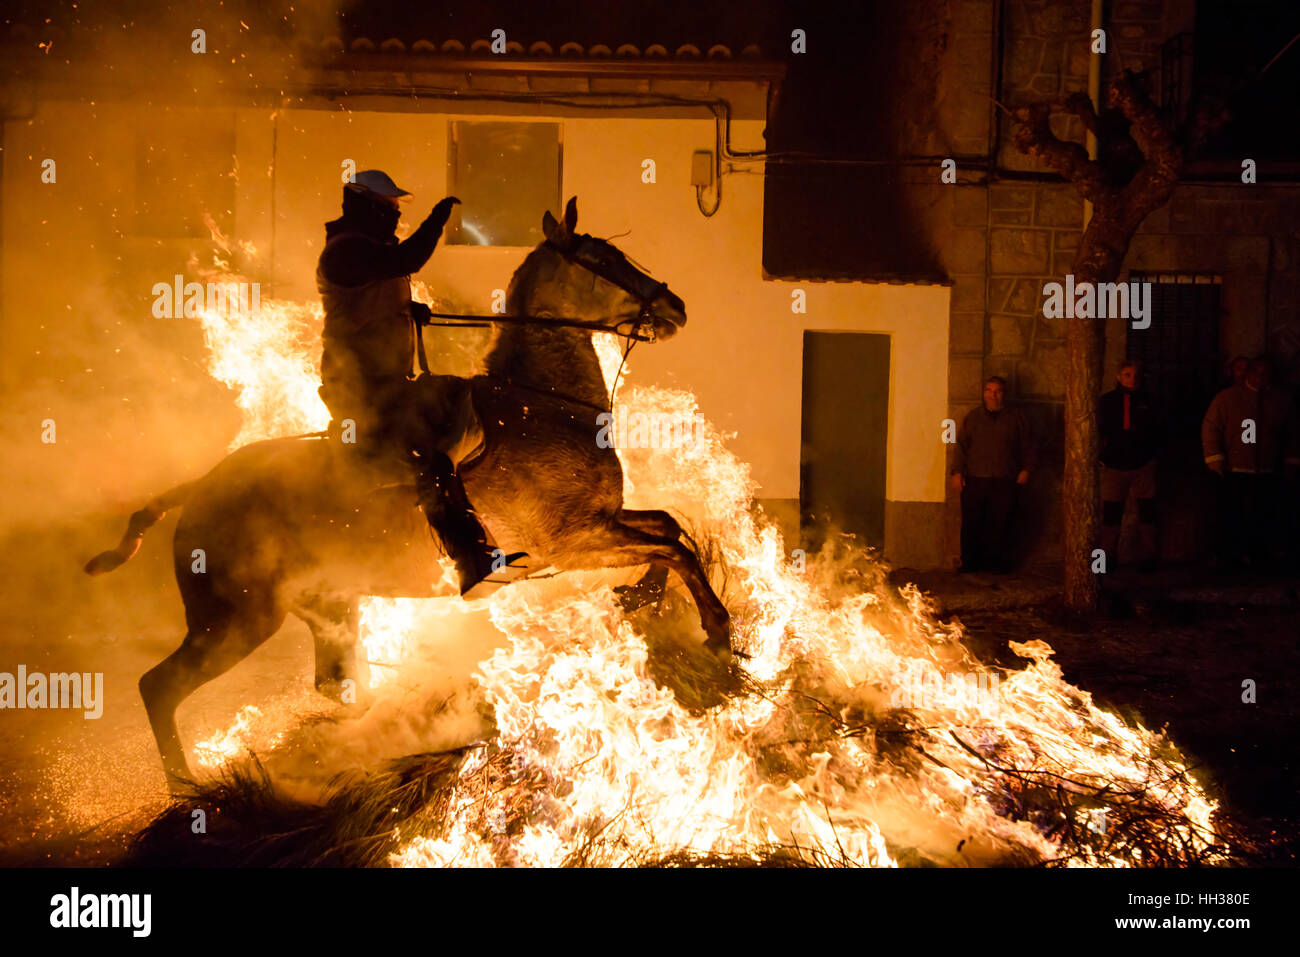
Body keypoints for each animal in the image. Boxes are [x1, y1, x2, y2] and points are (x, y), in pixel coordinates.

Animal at [86, 197, 733, 790]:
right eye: (602, 259)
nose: (674, 306)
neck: (542, 404)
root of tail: (199, 488)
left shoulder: (603, 520)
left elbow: (670, 529)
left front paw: (643, 595)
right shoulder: (572, 541)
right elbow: (674, 546)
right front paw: (718, 628)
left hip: (325, 610)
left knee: (334, 686)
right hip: (233, 621)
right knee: (158, 687)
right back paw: (186, 784)